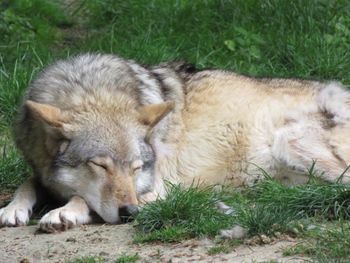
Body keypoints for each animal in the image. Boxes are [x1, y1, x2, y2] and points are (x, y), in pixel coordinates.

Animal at [0, 54, 350, 233]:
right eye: (99, 165)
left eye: (137, 167)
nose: (131, 213)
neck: (91, 89)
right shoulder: (41, 170)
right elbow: (27, 183)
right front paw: (13, 208)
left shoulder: (153, 187)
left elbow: (83, 199)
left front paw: (63, 213)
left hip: (288, 142)